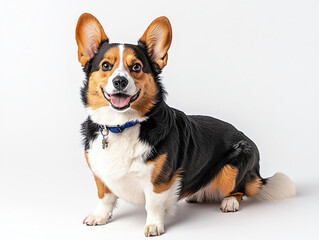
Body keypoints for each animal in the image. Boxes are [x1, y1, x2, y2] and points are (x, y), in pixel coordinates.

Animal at [75, 13, 296, 236]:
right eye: (105, 65)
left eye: (136, 67)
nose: (120, 81)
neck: (122, 124)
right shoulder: (100, 175)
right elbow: (105, 197)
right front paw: (99, 217)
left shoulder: (159, 181)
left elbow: (153, 204)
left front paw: (154, 226)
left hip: (233, 166)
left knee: (239, 189)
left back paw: (229, 202)